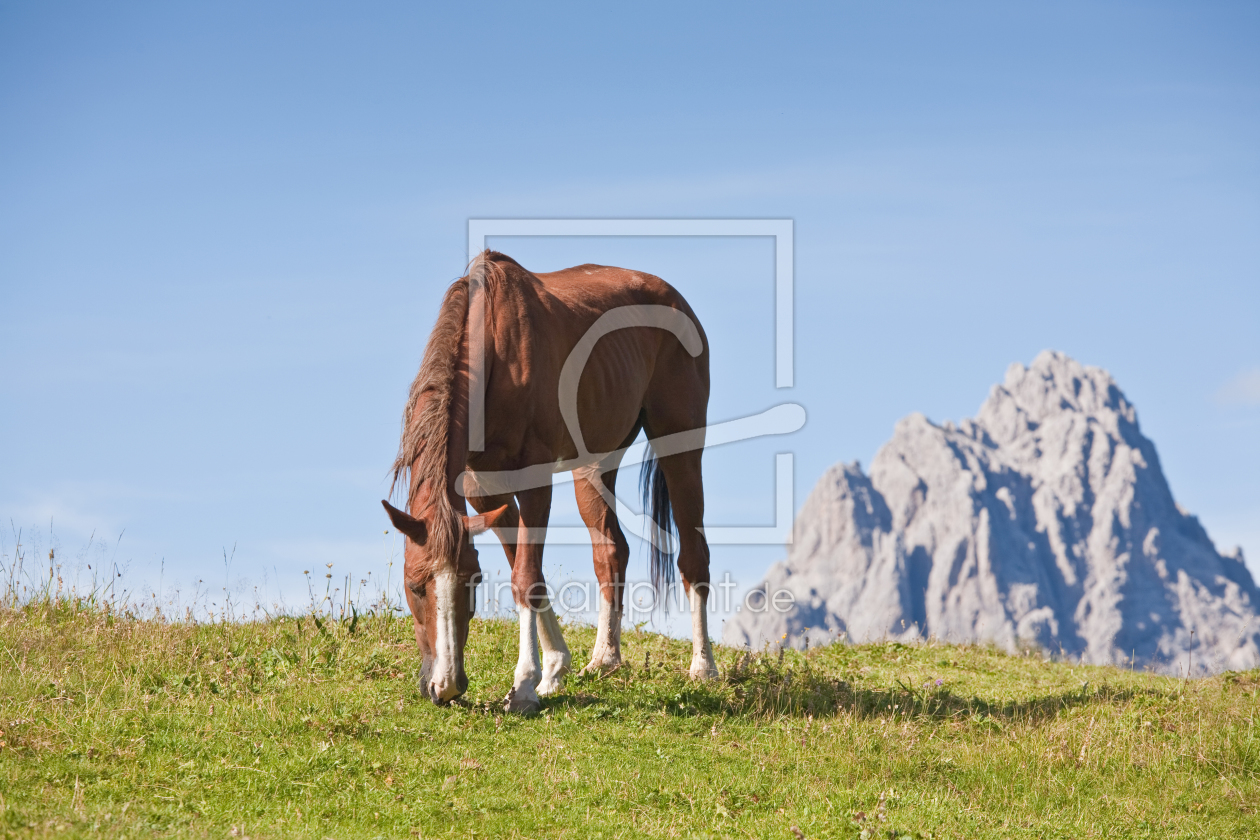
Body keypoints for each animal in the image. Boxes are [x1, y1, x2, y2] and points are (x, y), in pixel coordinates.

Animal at [378, 251, 720, 715]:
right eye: (415, 587)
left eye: (473, 583)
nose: (445, 687)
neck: (495, 351)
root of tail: (675, 299)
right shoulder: (484, 489)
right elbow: (530, 574)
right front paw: (556, 666)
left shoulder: (534, 480)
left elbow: (525, 576)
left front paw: (524, 685)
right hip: (593, 465)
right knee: (611, 551)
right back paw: (605, 658)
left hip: (679, 445)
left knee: (693, 554)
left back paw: (703, 666)